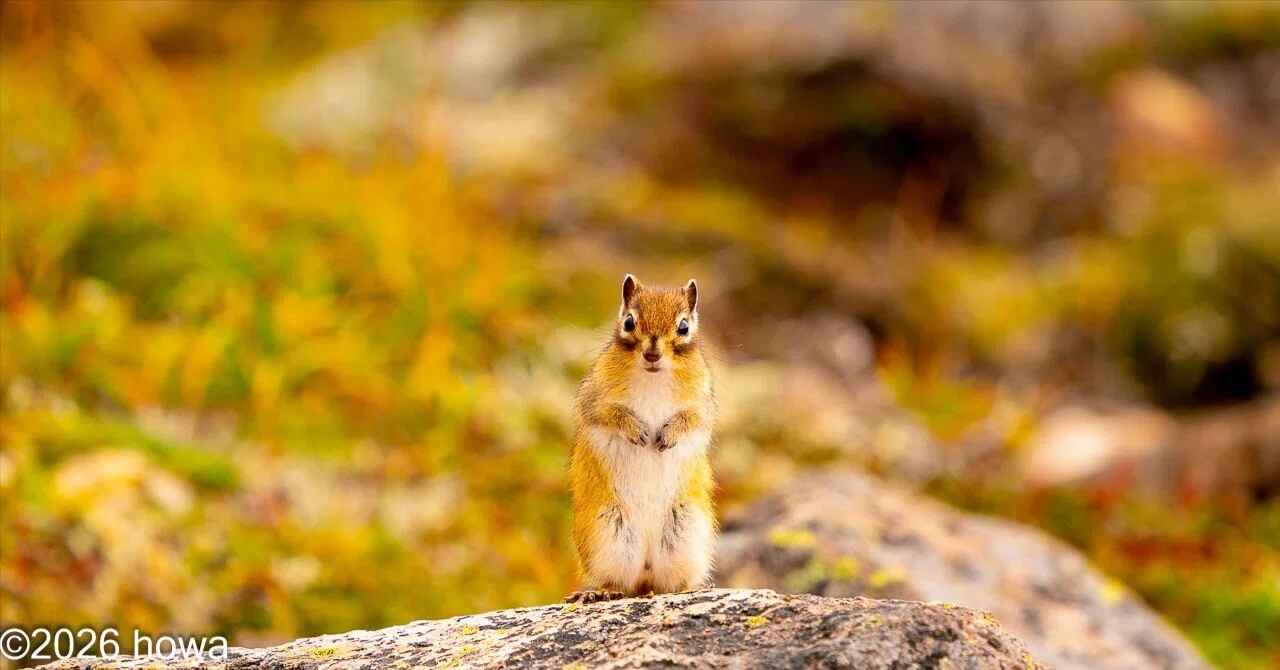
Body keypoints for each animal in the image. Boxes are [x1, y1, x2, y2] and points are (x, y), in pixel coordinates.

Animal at [564, 274, 717, 604]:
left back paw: (692, 587)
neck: (653, 377)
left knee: (672, 583)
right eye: (629, 322)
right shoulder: (593, 401)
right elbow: (609, 414)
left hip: (685, 532)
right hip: (610, 534)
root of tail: (646, 575)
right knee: (616, 581)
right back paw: (599, 593)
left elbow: (691, 420)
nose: (652, 354)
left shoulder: (703, 406)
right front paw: (637, 431)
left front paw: (667, 435)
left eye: (683, 327)